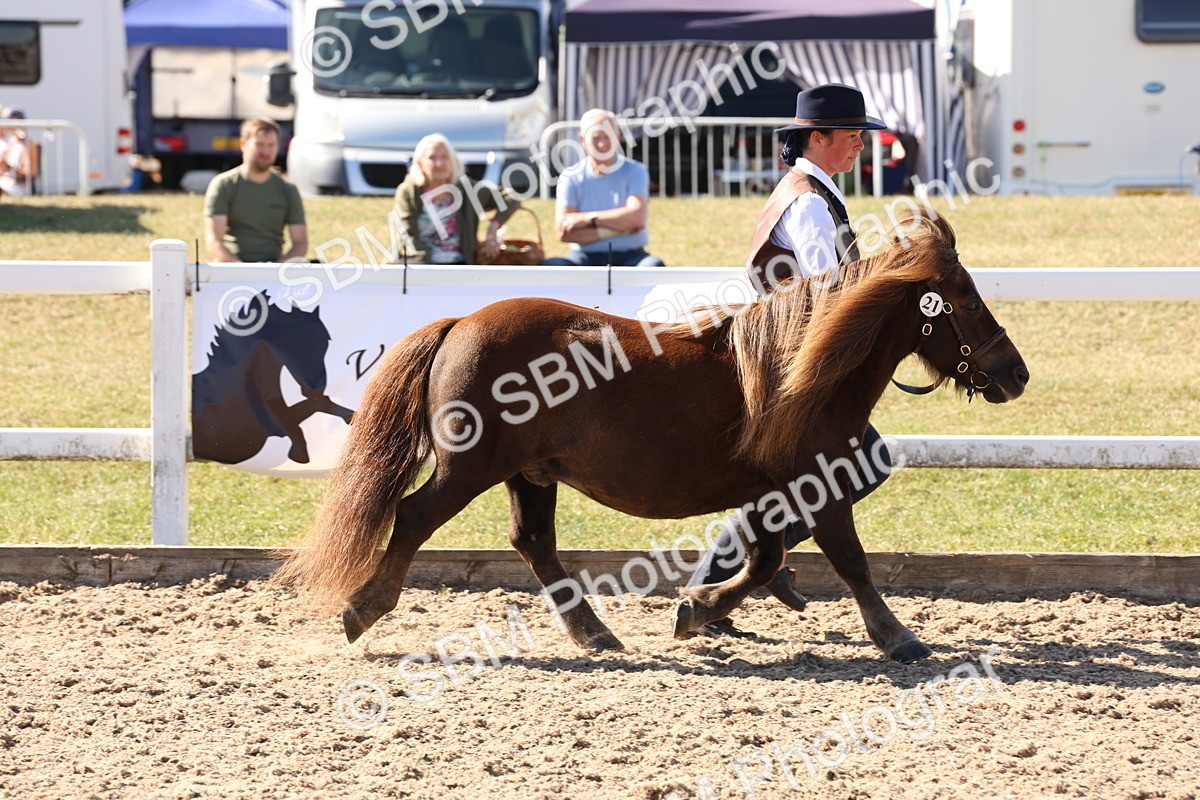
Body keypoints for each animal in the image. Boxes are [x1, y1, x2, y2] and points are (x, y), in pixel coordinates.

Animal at [275, 211, 1029, 662]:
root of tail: (461, 321)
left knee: (533, 543)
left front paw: (697, 611)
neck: (799, 367)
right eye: (965, 302)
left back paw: (595, 632)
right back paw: (363, 608)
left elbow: (765, 560)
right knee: (412, 517)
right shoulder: (817, 484)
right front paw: (898, 637)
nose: (1015, 373)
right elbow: (850, 561)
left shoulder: (776, 491)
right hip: (471, 469)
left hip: (529, 473)